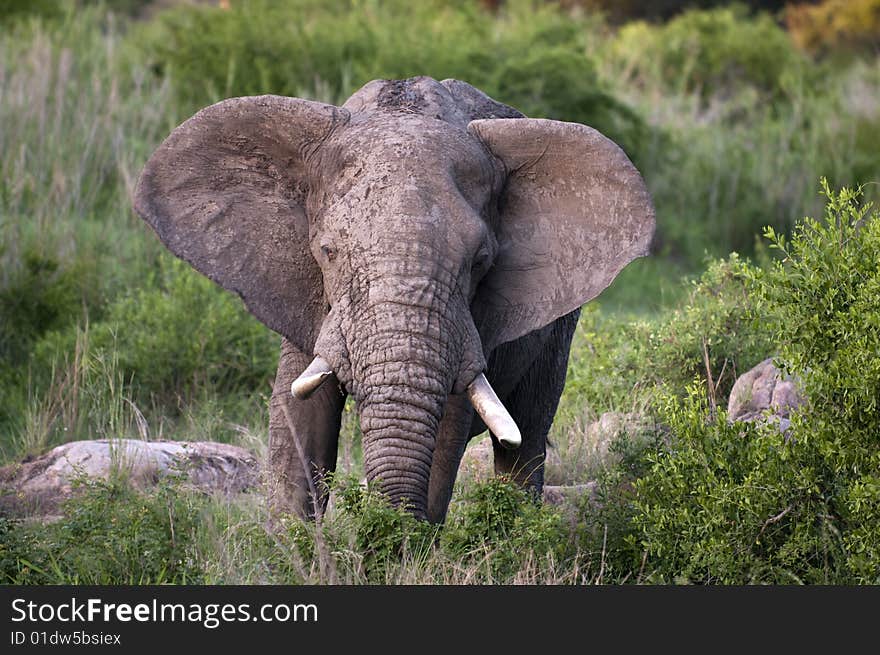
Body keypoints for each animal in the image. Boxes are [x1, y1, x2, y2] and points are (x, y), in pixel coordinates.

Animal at [132, 77, 652, 524]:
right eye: (327, 252)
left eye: (480, 261)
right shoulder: (304, 294)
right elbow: (300, 423)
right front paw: (294, 556)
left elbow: (447, 427)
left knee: (525, 436)